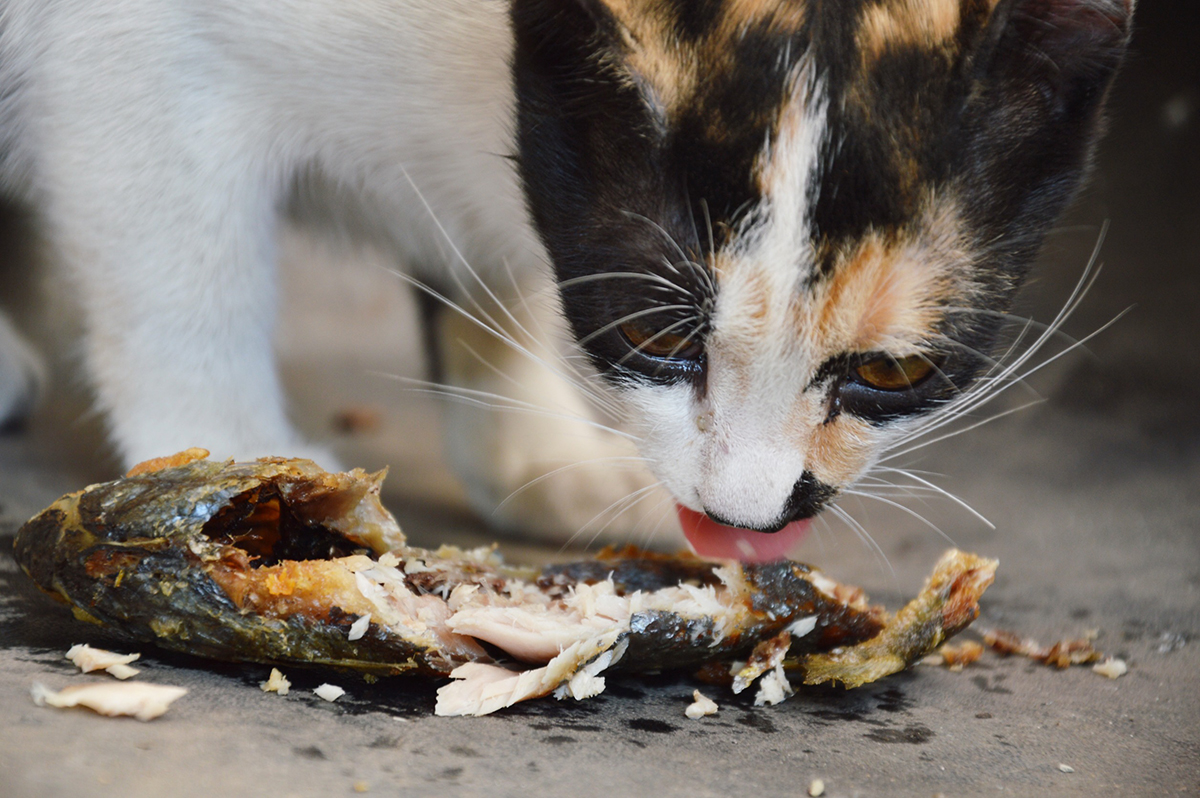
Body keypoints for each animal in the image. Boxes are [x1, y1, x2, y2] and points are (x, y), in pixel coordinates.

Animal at [0, 0, 1132, 556]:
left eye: (892, 374)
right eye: (658, 336)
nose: (744, 515)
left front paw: (540, 460)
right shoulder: (131, 43)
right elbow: (179, 249)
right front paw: (236, 462)